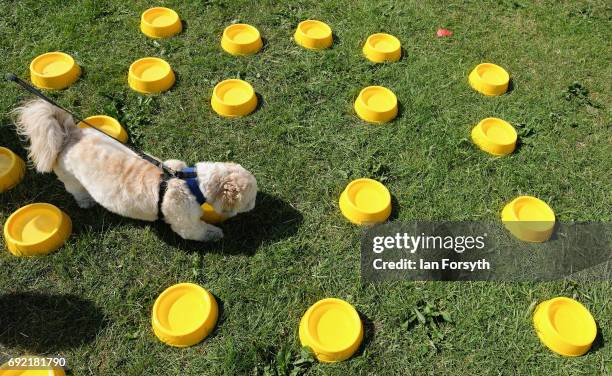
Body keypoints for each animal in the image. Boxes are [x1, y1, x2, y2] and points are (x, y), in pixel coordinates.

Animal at [13, 100, 258, 241]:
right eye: (250, 200)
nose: (254, 206)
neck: (188, 182)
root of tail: (67, 135)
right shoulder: (185, 222)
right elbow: (198, 231)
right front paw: (215, 234)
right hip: (71, 179)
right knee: (77, 191)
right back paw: (85, 201)